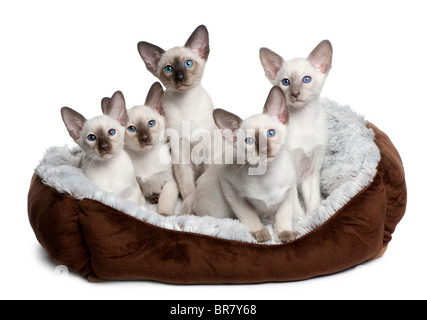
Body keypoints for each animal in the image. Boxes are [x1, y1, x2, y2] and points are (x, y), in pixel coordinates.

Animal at [123, 82, 180, 218]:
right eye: (132, 129)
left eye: (151, 123)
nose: (144, 138)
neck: (146, 156)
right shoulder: (137, 185)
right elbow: (140, 203)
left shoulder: (170, 183)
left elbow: (165, 202)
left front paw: (163, 216)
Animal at [138, 25, 216, 199]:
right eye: (169, 69)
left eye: (188, 63)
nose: (180, 78)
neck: (187, 105)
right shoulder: (179, 152)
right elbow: (187, 186)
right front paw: (189, 204)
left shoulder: (208, 149)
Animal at [184, 87, 304, 242]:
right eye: (249, 141)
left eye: (271, 133)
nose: (264, 150)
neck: (268, 174)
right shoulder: (230, 187)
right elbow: (248, 214)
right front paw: (260, 232)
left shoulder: (287, 193)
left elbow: (284, 215)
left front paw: (285, 232)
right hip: (218, 211)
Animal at [260, 40, 332, 215]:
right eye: (286, 82)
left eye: (306, 79)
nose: (295, 93)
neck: (305, 122)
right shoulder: (289, 176)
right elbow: (295, 208)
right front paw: (301, 221)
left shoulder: (312, 172)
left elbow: (313, 203)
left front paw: (315, 218)